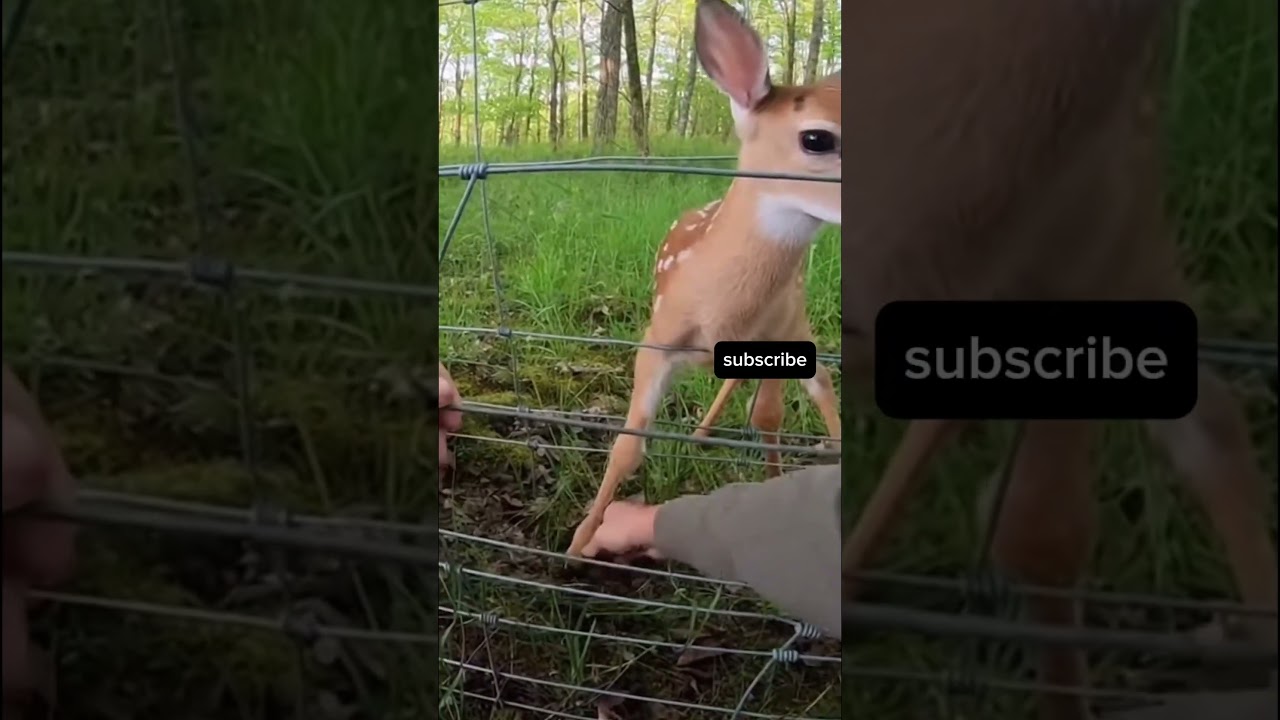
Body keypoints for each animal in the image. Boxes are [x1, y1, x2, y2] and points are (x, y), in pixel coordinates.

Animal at [566, 0, 842, 557]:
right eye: (817, 138)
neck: (719, 306)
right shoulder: (656, 337)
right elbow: (627, 446)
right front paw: (579, 542)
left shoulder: (778, 331)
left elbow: (769, 416)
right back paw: (699, 431)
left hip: (796, 314)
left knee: (818, 381)